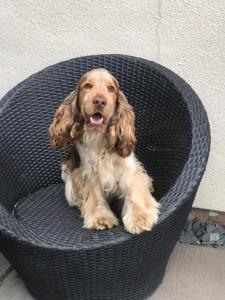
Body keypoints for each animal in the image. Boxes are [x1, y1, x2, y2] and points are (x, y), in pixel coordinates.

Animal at [48, 68, 160, 234]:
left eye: (111, 88)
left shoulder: (129, 168)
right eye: (88, 86)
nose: (100, 101)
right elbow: (95, 195)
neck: (99, 137)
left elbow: (133, 190)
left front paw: (139, 218)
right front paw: (100, 218)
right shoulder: (89, 172)